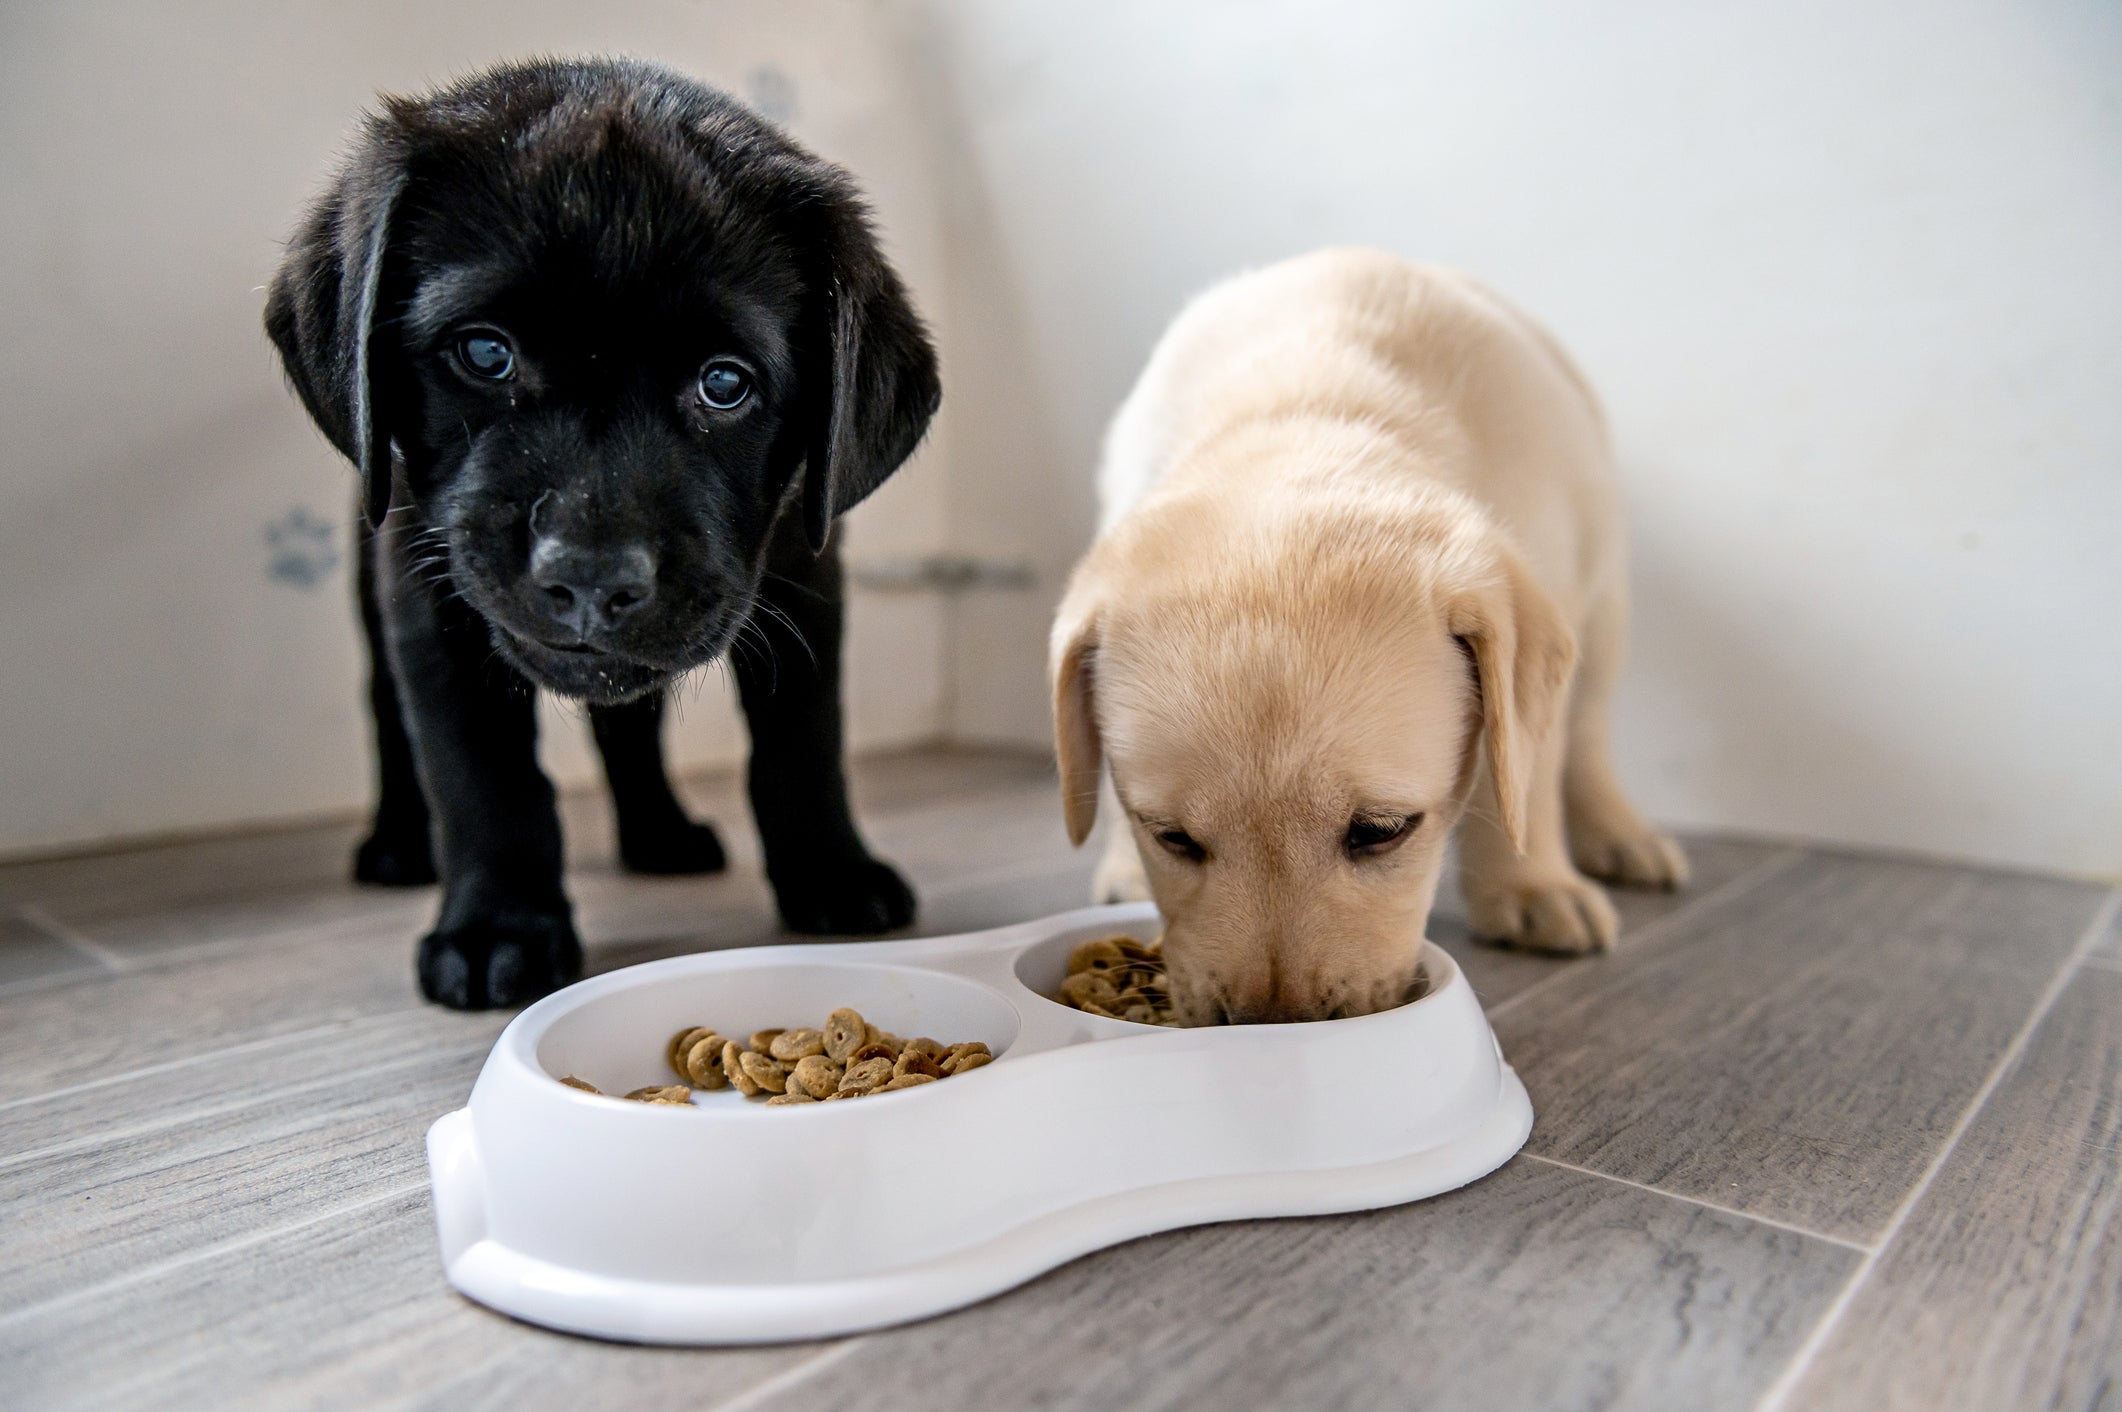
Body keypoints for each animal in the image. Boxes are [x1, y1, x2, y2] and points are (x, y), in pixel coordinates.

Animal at [263, 55, 937, 1002]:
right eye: (485, 353)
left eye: (724, 384)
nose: (589, 577)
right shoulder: (426, 594)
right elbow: (480, 774)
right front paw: (498, 927)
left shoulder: (806, 573)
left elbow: (802, 740)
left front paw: (832, 872)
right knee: (389, 717)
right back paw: (398, 842)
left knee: (630, 720)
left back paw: (661, 832)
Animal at [1052, 250, 1680, 1023]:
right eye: (1172, 838)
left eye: (1381, 832)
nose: (1275, 1024)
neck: (1315, 410)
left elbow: (1523, 781)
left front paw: (1531, 884)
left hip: (1604, 603)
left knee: (1586, 734)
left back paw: (1620, 836)